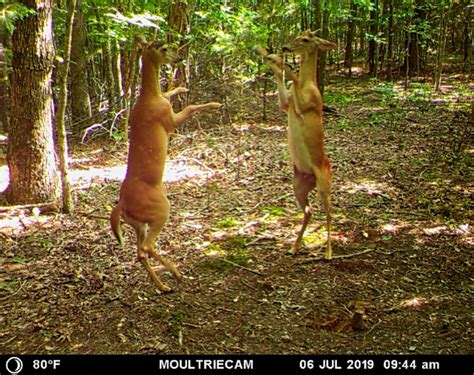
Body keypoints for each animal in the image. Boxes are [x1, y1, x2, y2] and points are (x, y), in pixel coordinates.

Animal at [111, 36, 222, 294]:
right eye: (163, 48)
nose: (179, 56)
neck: (150, 97)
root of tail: (122, 204)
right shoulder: (169, 120)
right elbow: (190, 108)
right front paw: (215, 104)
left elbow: (171, 92)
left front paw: (182, 88)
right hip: (160, 209)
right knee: (147, 247)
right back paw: (177, 274)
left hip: (137, 223)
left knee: (140, 252)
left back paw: (163, 285)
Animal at [256, 30, 336, 260]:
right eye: (298, 34)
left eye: (306, 40)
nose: (285, 47)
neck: (311, 84)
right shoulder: (287, 104)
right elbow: (286, 84)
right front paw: (266, 54)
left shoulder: (309, 102)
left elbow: (294, 76)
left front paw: (276, 58)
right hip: (298, 185)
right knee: (309, 211)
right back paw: (294, 246)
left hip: (324, 184)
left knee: (329, 214)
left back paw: (328, 252)